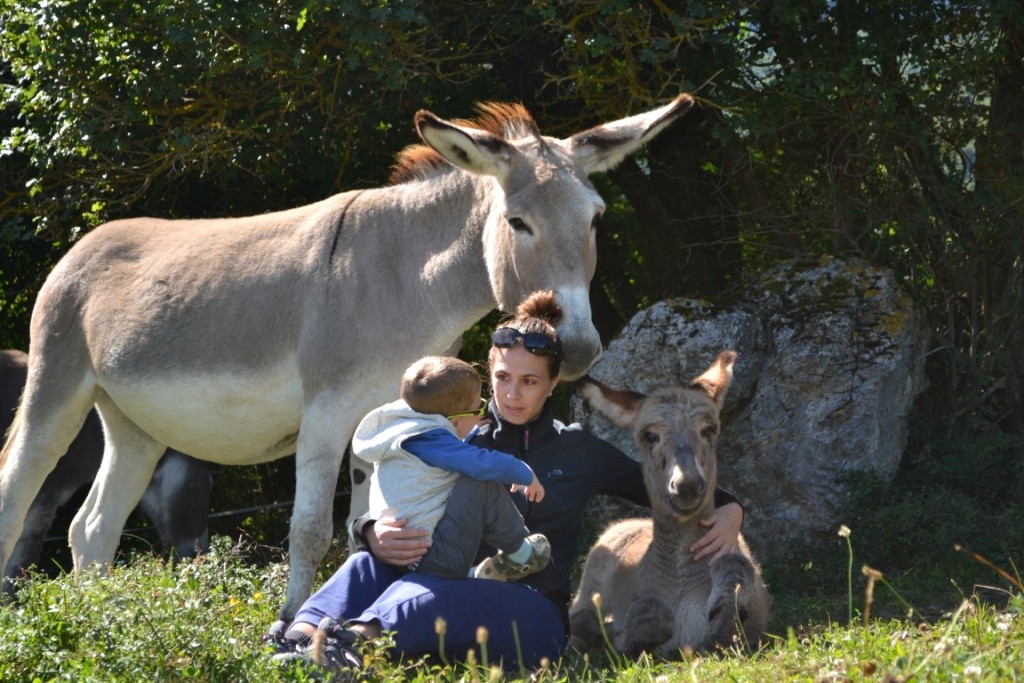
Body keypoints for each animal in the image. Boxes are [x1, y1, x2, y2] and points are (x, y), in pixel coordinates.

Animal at [569, 352, 770, 655]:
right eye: (650, 436)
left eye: (708, 430)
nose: (686, 486)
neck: (678, 580)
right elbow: (645, 613)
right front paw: (616, 636)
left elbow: (734, 577)